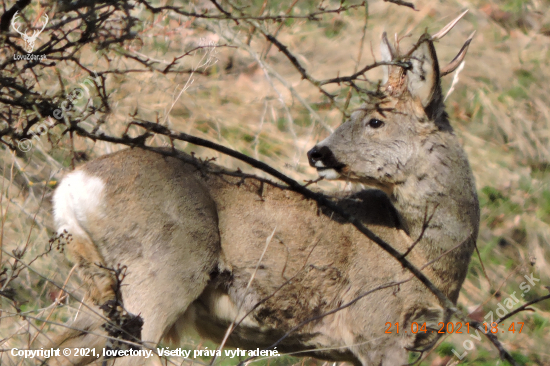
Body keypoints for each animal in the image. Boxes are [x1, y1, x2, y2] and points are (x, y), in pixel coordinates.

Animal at [46, 13, 478, 366]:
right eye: (360, 113)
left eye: (375, 121)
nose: (317, 152)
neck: (425, 255)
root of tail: (73, 186)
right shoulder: (375, 323)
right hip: (162, 272)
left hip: (102, 288)